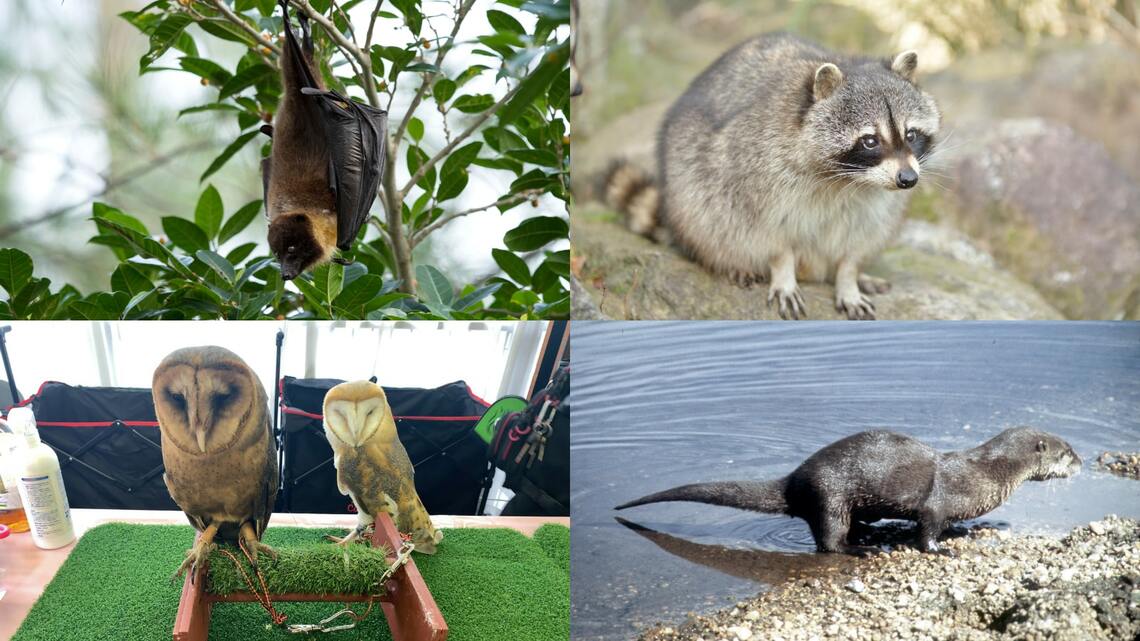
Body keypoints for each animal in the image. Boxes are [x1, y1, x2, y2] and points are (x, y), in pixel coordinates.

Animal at [606, 33, 943, 317]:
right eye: (870, 141)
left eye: (911, 134)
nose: (908, 180)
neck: (848, 180)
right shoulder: (758, 172)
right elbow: (772, 236)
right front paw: (782, 272)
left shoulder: (876, 204)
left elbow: (856, 243)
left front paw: (849, 278)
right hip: (688, 185)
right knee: (709, 218)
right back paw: (728, 261)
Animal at [620, 424, 1080, 554]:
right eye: (1067, 451)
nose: (1081, 462)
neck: (985, 471)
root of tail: (795, 479)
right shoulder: (937, 502)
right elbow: (928, 528)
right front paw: (940, 549)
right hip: (830, 496)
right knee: (829, 541)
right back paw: (862, 549)